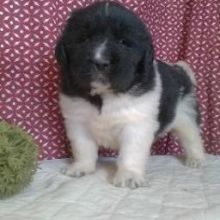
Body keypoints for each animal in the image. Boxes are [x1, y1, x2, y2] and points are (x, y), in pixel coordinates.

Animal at [55, 0, 205, 188]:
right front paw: (82, 167)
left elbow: (131, 152)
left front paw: (129, 175)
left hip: (186, 115)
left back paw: (196, 159)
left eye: (124, 42)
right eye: (84, 39)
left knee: (193, 138)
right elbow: (83, 147)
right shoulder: (78, 121)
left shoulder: (136, 124)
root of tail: (180, 72)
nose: (100, 62)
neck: (105, 94)